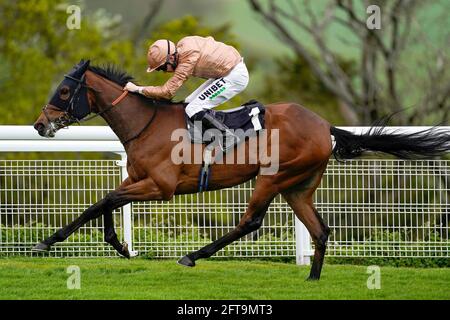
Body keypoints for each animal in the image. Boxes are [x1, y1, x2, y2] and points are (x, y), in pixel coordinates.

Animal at [32, 60, 450, 280]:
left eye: (64, 92)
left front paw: (48, 242)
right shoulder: (137, 178)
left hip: (273, 177)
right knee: (320, 229)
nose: (39, 125)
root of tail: (324, 126)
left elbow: (104, 200)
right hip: (298, 187)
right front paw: (115, 244)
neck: (146, 123)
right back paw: (313, 278)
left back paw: (193, 255)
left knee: (250, 221)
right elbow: (107, 203)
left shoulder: (160, 186)